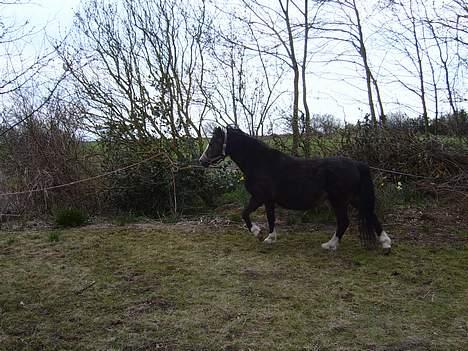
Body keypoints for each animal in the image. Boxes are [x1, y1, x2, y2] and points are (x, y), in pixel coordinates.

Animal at [198, 127, 392, 253]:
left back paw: (330, 245)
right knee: (370, 214)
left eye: (213, 142)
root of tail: (357, 164)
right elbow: (270, 218)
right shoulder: (268, 200)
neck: (260, 162)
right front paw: (270, 237)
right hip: (353, 198)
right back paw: (385, 243)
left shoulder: (259, 197)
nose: (202, 161)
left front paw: (258, 233)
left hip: (339, 200)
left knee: (344, 222)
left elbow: (245, 214)